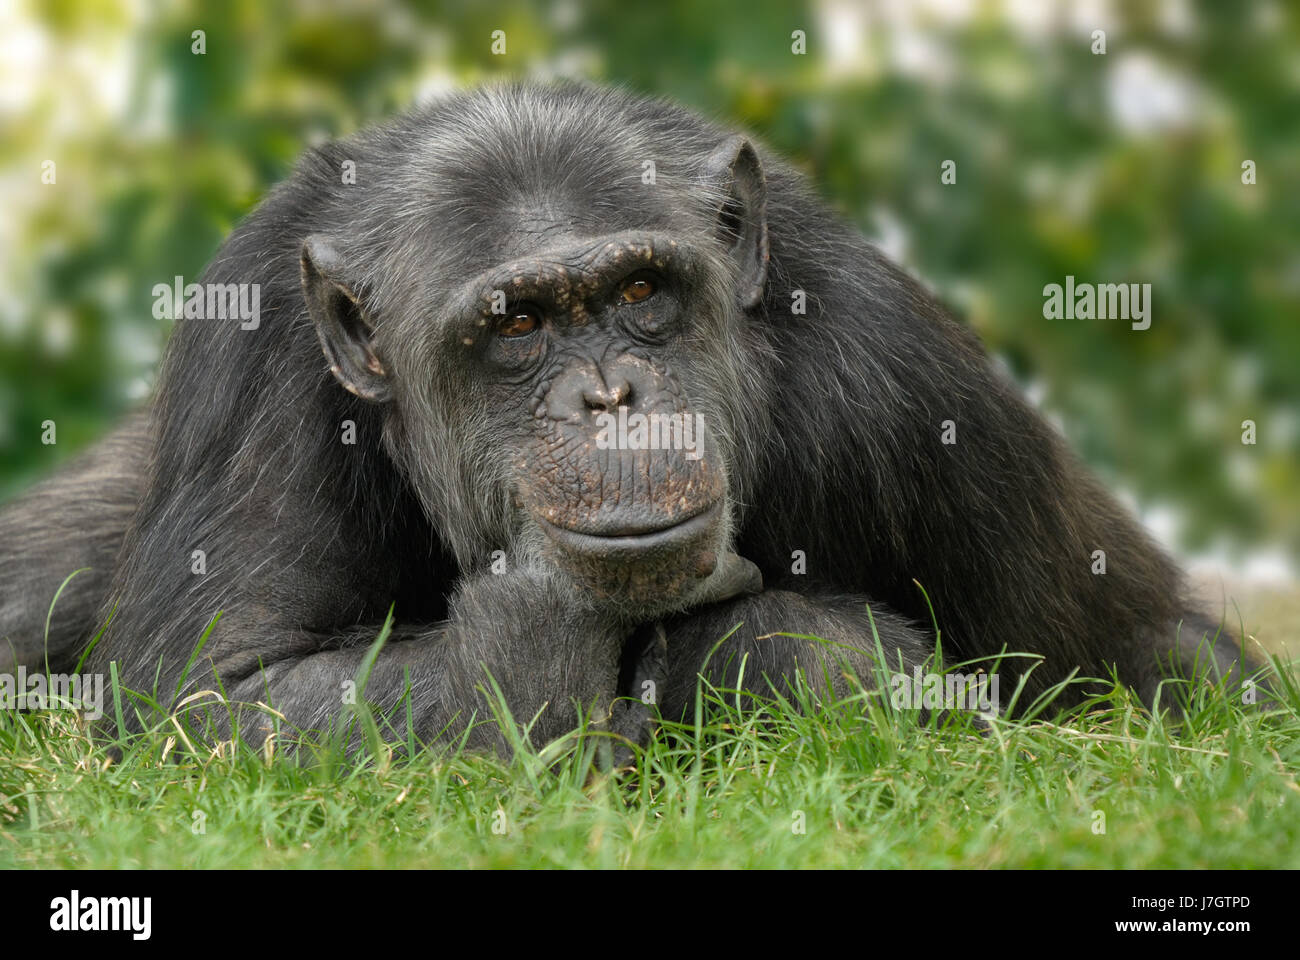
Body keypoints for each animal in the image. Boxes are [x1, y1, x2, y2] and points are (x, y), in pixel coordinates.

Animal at [0, 82, 1258, 749]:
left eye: (641, 294)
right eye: (515, 324)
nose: (610, 395)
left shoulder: (911, 396)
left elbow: (1137, 665)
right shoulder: (257, 361)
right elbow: (217, 693)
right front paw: (544, 629)